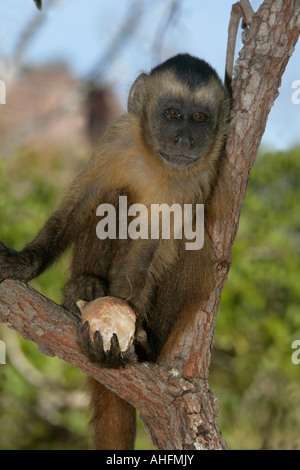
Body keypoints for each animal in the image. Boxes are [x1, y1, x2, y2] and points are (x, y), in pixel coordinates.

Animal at [0, 53, 230, 450]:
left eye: (200, 118)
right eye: (172, 113)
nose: (185, 139)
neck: (156, 162)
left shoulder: (198, 176)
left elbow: (155, 248)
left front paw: (124, 334)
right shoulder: (118, 138)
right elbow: (81, 203)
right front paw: (24, 263)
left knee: (193, 247)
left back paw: (147, 346)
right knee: (112, 198)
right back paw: (84, 288)